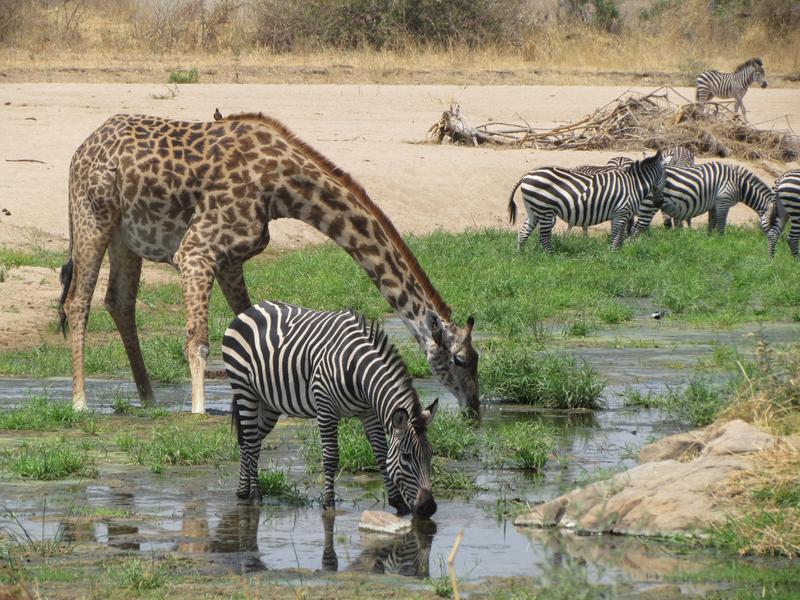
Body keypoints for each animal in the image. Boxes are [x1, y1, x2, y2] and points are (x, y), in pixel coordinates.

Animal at [59, 111, 482, 412]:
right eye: (461, 360)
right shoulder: (196, 251)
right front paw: (198, 412)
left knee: (119, 302)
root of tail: (80, 150)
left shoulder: (231, 259)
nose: (475, 411)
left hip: (125, 235)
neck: (282, 187)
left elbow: (252, 326)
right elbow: (199, 341)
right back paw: (79, 402)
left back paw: (147, 399)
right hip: (92, 217)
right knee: (77, 302)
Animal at [222, 302, 440, 516]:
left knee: (249, 441)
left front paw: (397, 502)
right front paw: (328, 503)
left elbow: (381, 453)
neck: (358, 370)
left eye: (430, 454)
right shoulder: (326, 408)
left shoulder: (369, 413)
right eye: (406, 457)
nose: (428, 508)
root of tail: (251, 309)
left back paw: (243, 491)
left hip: (268, 403)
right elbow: (331, 457)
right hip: (245, 390)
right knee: (250, 442)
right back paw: (255, 495)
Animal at [506, 151, 668, 254]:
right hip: (545, 209)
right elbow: (617, 236)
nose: (659, 203)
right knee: (544, 238)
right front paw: (613, 254)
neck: (634, 184)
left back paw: (521, 255)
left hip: (533, 208)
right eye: (665, 178)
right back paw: (552, 257)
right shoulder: (622, 212)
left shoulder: (619, 214)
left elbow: (617, 236)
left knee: (524, 231)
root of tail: (527, 175)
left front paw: (614, 254)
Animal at [632, 162, 776, 237]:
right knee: (636, 228)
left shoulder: (714, 205)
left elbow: (711, 224)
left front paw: (710, 240)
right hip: (649, 204)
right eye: (775, 221)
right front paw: (721, 242)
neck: (738, 184)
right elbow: (721, 224)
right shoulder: (723, 200)